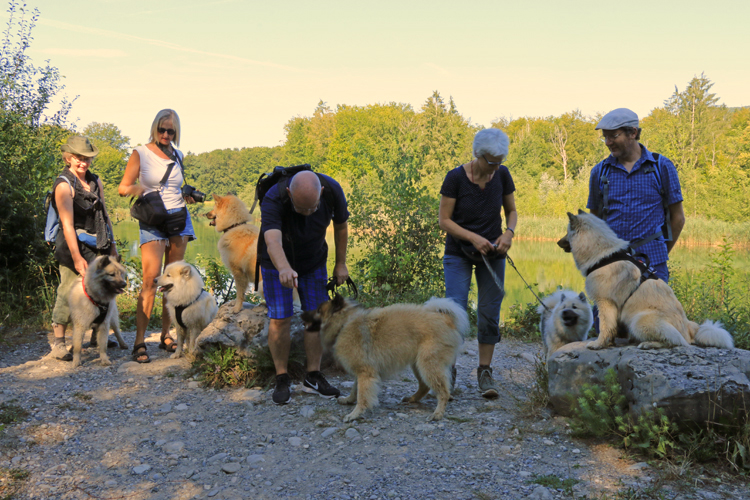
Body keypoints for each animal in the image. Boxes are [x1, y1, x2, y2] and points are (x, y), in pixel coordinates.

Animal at [302, 292, 468, 422]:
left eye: (318, 310)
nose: (301, 313)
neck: (344, 324)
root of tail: (446, 318)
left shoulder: (365, 373)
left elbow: (362, 396)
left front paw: (355, 414)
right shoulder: (362, 372)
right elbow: (355, 389)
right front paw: (348, 400)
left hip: (428, 364)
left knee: (443, 392)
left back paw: (437, 414)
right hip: (418, 365)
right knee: (424, 386)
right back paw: (412, 399)